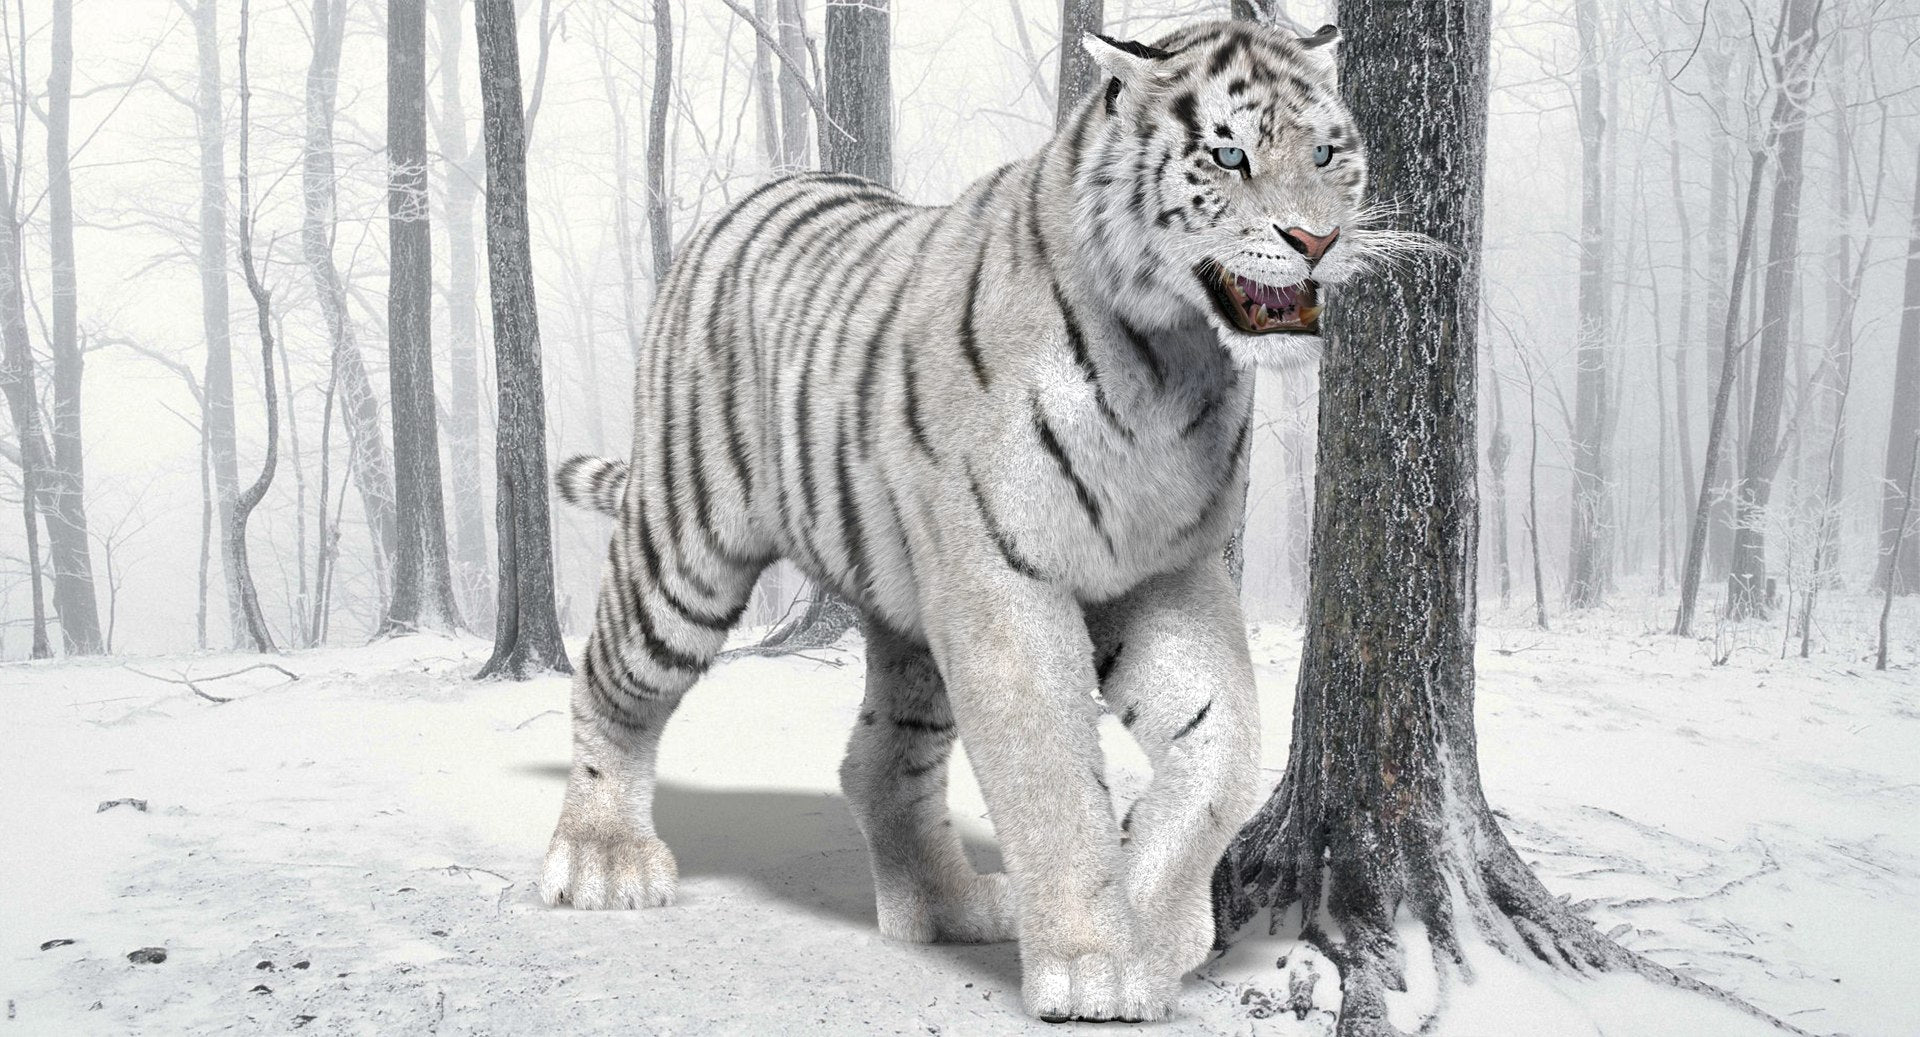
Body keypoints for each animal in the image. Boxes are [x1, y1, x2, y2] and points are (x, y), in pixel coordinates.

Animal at [541, 19, 1384, 1022]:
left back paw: (948, 906)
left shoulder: (1162, 569)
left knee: (881, 760)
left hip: (912, 603)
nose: (1317, 238)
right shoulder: (1004, 582)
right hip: (687, 546)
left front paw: (1156, 922)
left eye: (1327, 153)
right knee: (612, 682)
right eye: (1229, 156)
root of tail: (746, 197)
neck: (1174, 357)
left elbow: (1223, 751)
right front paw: (1097, 963)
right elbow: (1051, 779)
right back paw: (602, 860)